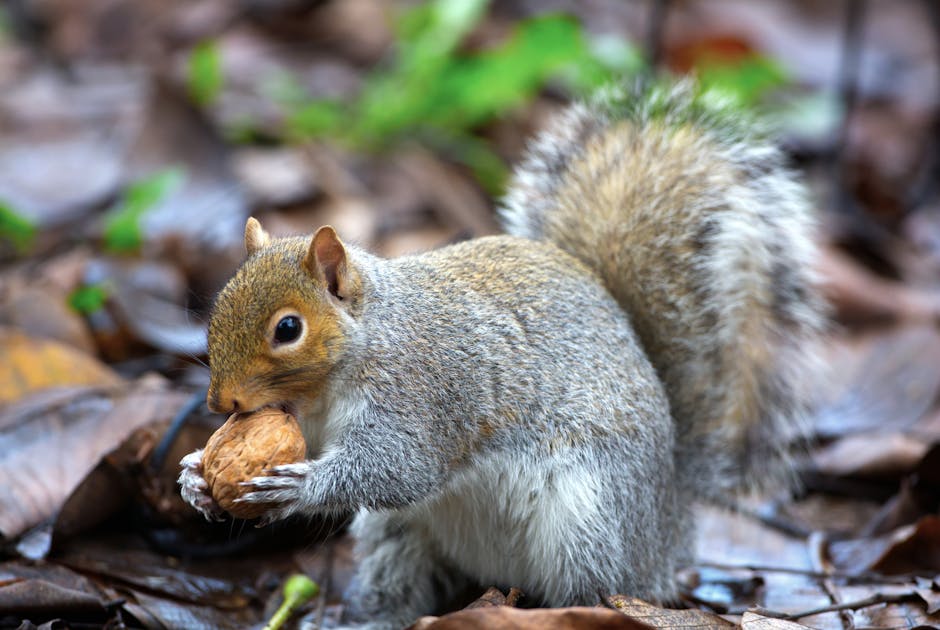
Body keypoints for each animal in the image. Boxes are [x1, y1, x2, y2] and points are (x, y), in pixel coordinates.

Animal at [179, 80, 825, 627]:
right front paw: (194, 479)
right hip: (400, 536)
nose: (220, 403)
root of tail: (670, 520)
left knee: (596, 583)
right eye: (219, 302)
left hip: (591, 516)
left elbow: (397, 469)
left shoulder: (423, 395)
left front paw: (297, 490)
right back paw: (370, 616)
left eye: (288, 328)